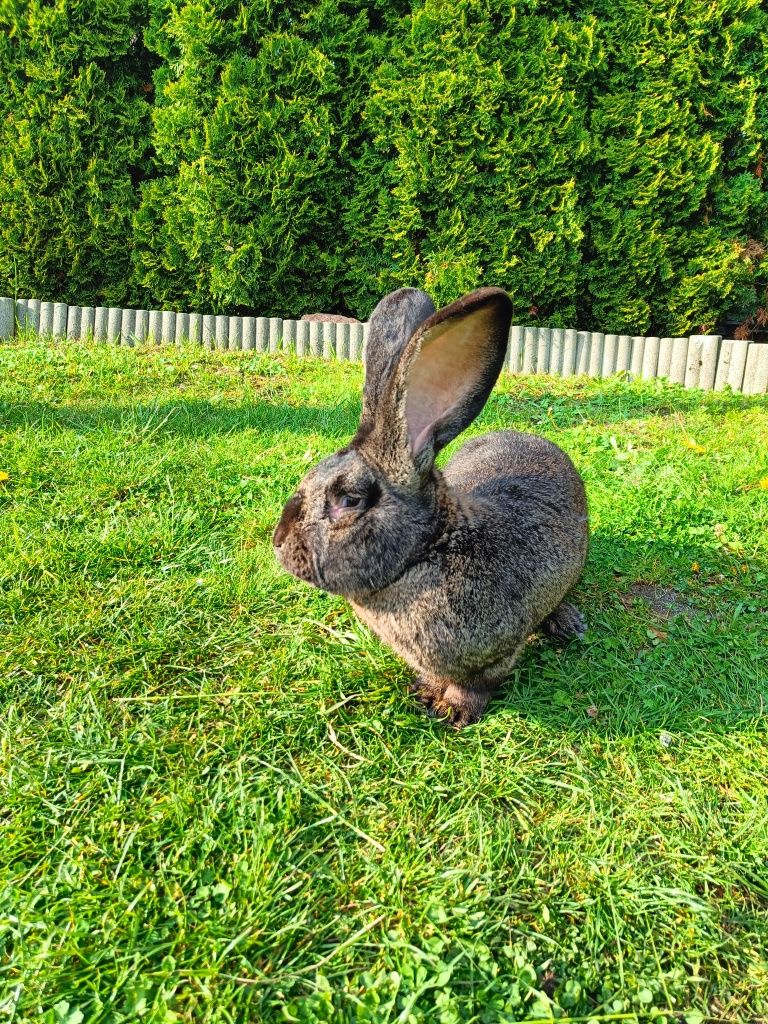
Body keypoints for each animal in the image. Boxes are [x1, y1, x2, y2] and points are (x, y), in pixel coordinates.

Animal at [274, 284, 589, 724]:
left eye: (349, 500)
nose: (278, 540)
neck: (430, 548)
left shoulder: (498, 655)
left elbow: (477, 685)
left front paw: (454, 710)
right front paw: (426, 692)